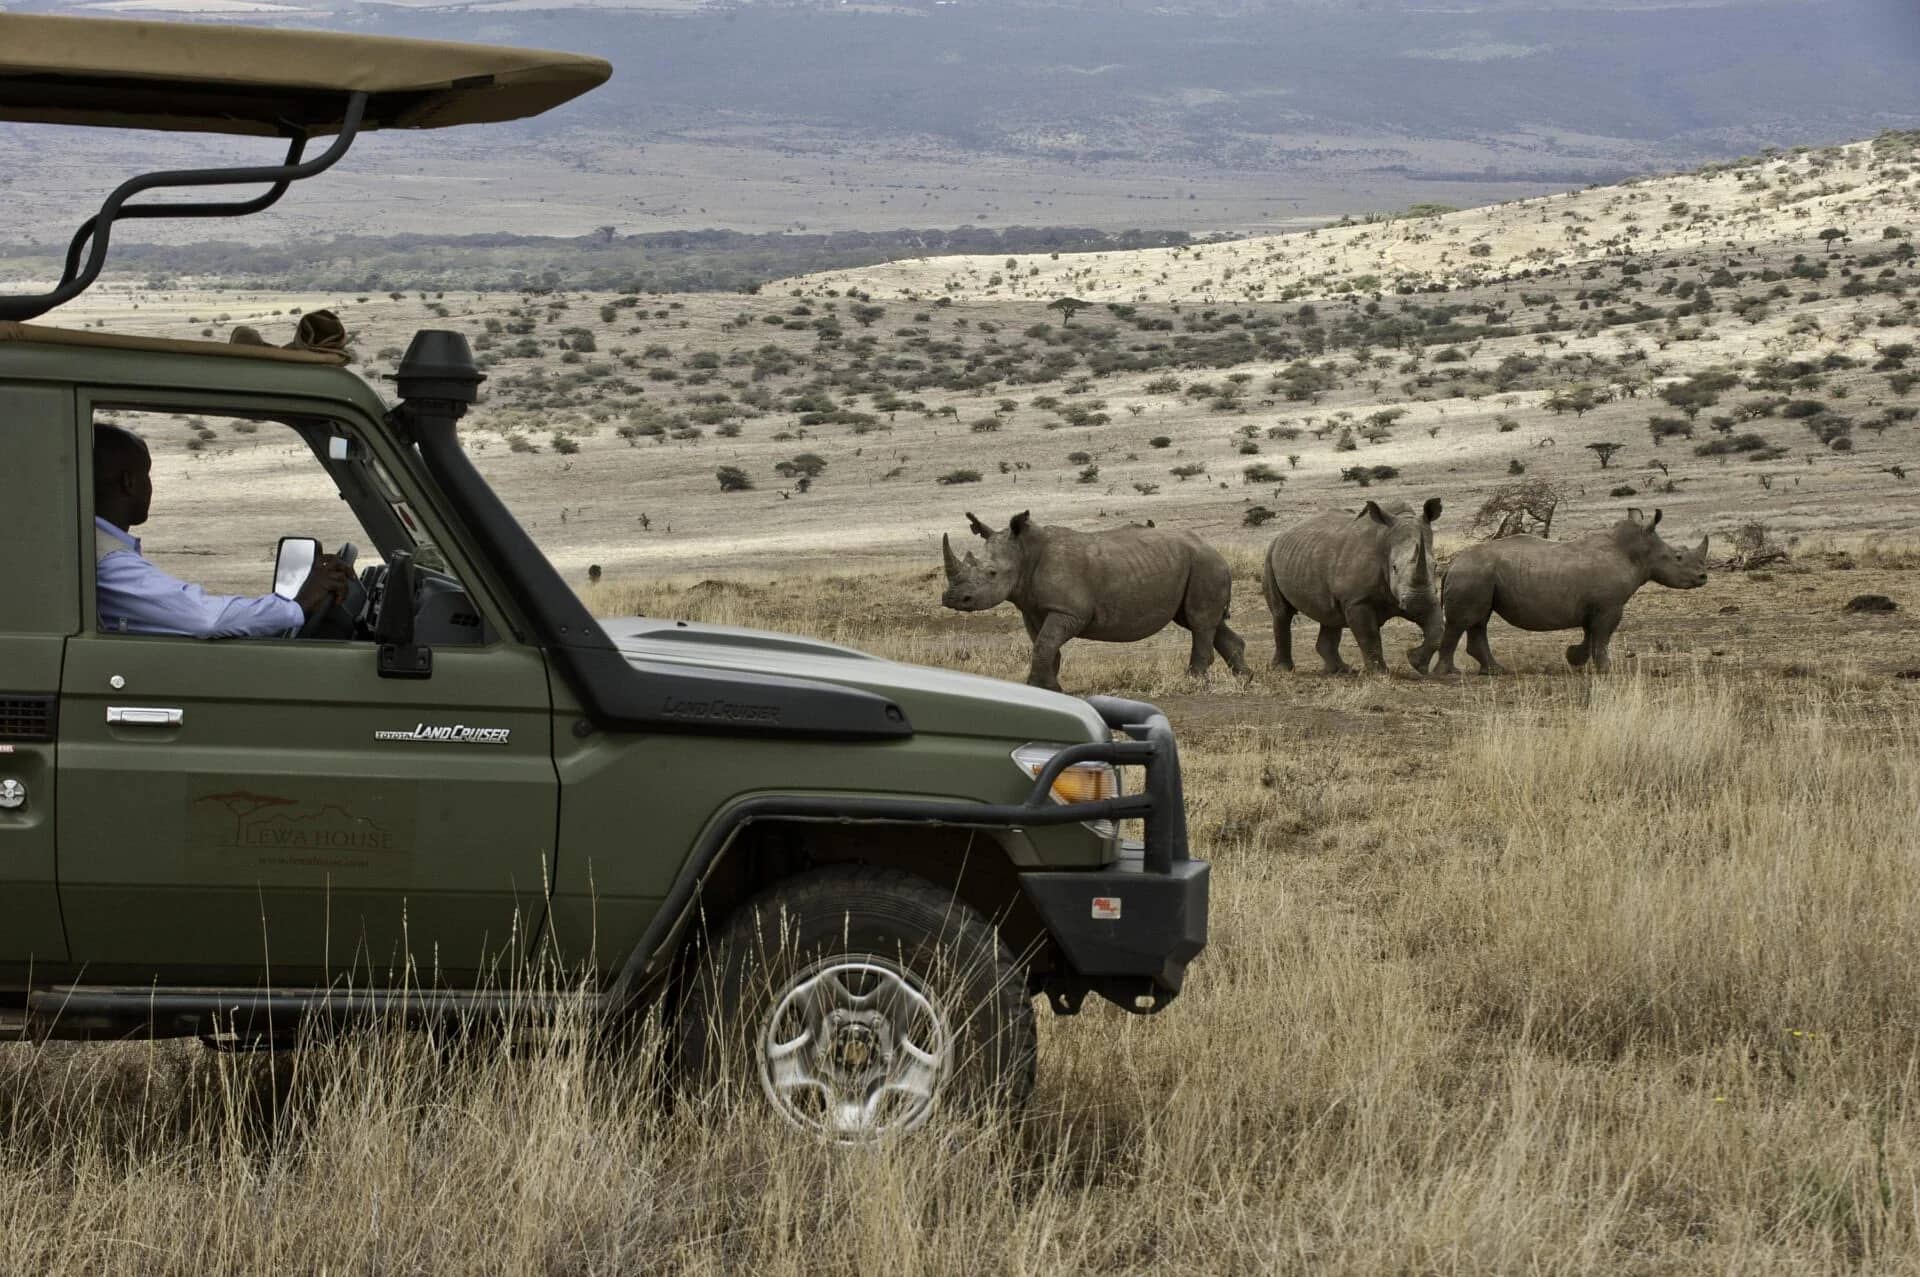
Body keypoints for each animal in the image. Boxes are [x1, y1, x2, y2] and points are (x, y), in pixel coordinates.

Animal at [941, 511, 1248, 692]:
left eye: (992, 573)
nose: (952, 598)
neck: (1024, 553)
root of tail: (1214, 548)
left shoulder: (1069, 611)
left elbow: (1045, 643)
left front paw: (1041, 687)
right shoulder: (1033, 608)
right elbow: (1045, 645)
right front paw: (1048, 689)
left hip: (1205, 564)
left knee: (1199, 622)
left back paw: (1194, 682)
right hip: (1195, 564)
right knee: (1200, 621)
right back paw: (1245, 678)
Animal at [1260, 498, 1445, 675]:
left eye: (1435, 566)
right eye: (1394, 567)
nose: (1418, 603)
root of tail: (1281, 535)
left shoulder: (1423, 595)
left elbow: (1437, 629)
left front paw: (1416, 662)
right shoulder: (1357, 600)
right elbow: (1369, 636)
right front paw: (1379, 674)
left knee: (1330, 616)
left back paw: (1340, 670)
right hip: (1270, 555)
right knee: (1282, 613)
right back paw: (1283, 670)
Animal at [1436, 507, 1709, 675]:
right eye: (1678, 556)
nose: (1703, 577)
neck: (1637, 552)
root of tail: (1451, 565)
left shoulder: (1597, 605)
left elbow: (1592, 635)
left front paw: (1573, 657)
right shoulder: (1609, 605)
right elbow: (1602, 636)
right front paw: (1606, 670)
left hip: (1479, 575)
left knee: (1479, 620)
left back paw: (1495, 671)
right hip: (1472, 573)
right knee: (1464, 621)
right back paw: (1449, 674)